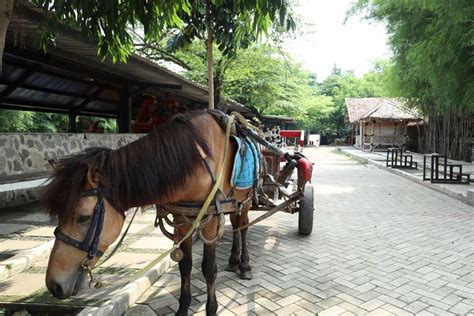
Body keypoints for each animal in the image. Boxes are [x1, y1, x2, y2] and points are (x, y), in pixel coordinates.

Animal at [41, 110, 256, 314]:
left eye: (83, 217)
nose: (54, 285)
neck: (196, 160)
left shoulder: (210, 220)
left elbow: (209, 268)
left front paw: (211, 309)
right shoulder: (182, 218)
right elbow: (185, 265)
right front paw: (182, 309)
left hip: (245, 200)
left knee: (243, 227)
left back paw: (244, 265)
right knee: (236, 224)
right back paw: (233, 260)